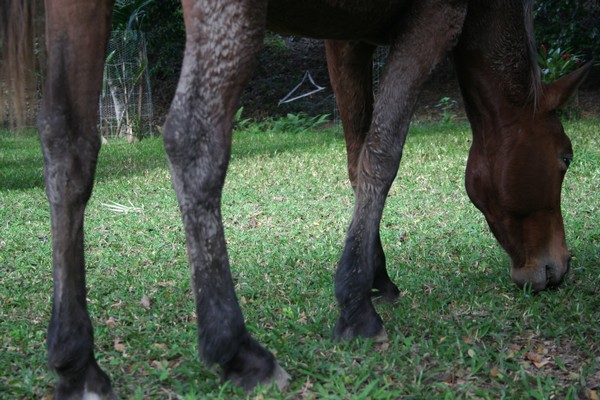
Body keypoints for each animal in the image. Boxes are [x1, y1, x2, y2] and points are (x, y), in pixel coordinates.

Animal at [0, 0, 592, 396]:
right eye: (566, 157)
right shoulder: (434, 18)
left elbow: (358, 153)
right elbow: (383, 151)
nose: (557, 266)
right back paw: (236, 349)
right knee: (193, 141)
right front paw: (354, 305)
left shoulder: (345, 37)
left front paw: (375, 275)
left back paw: (77, 362)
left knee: (68, 146)